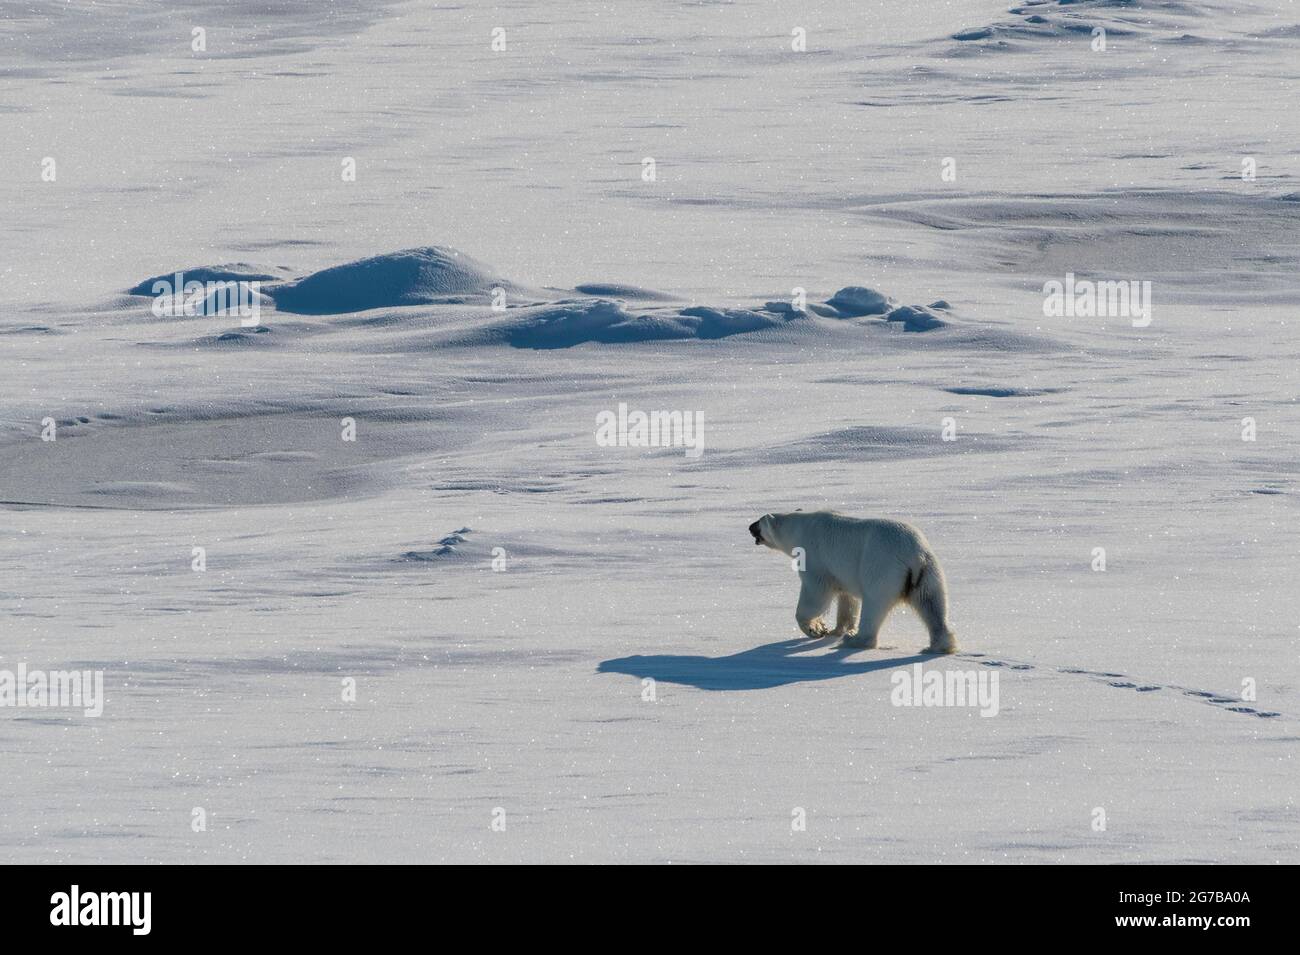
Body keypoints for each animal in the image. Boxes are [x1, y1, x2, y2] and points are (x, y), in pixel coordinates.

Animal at [754, 511, 956, 654]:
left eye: (758, 524)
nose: (750, 527)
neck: (800, 527)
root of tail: (913, 555)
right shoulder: (842, 574)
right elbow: (847, 600)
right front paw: (836, 630)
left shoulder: (815, 557)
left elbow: (815, 593)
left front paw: (816, 628)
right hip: (928, 571)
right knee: (931, 603)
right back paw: (939, 645)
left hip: (882, 567)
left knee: (874, 604)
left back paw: (855, 640)